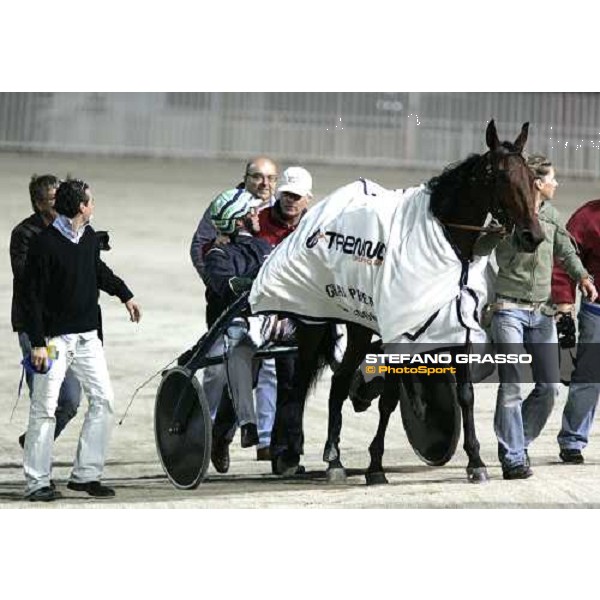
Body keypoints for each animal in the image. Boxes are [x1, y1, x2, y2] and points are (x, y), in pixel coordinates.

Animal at [276, 119, 544, 486]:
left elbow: (465, 395)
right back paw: (302, 456)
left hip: (359, 326)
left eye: (531, 178)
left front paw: (476, 461)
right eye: (500, 176)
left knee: (339, 382)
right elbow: (389, 398)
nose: (534, 236)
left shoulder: (455, 327)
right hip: (315, 323)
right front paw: (375, 466)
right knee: (300, 386)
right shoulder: (400, 332)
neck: (446, 241)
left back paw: (334, 459)